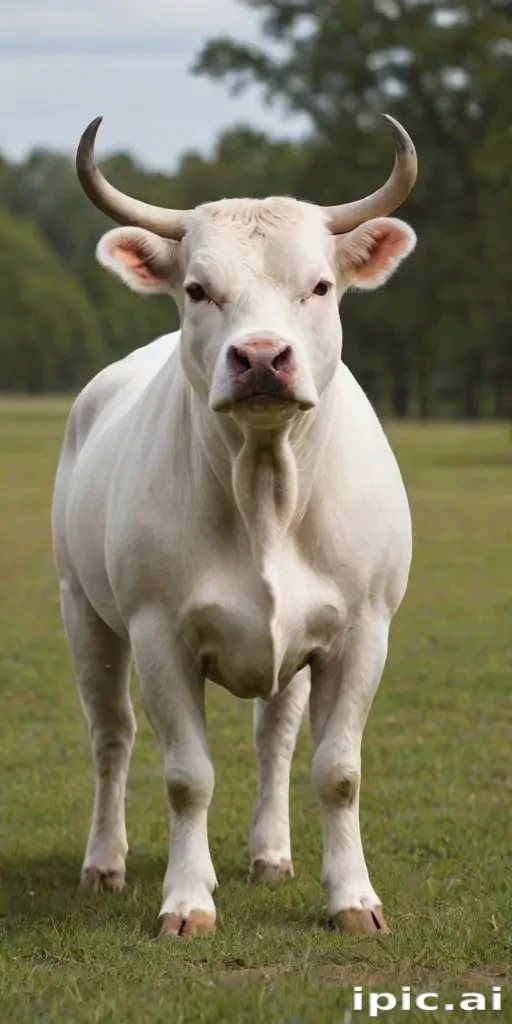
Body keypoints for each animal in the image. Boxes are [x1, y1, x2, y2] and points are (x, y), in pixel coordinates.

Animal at [51, 114, 417, 938]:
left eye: (319, 285)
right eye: (197, 288)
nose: (259, 358)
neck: (266, 493)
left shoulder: (364, 629)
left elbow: (337, 771)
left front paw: (353, 898)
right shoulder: (158, 631)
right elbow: (187, 777)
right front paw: (187, 901)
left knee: (273, 739)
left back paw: (270, 854)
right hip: (84, 611)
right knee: (110, 737)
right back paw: (104, 864)